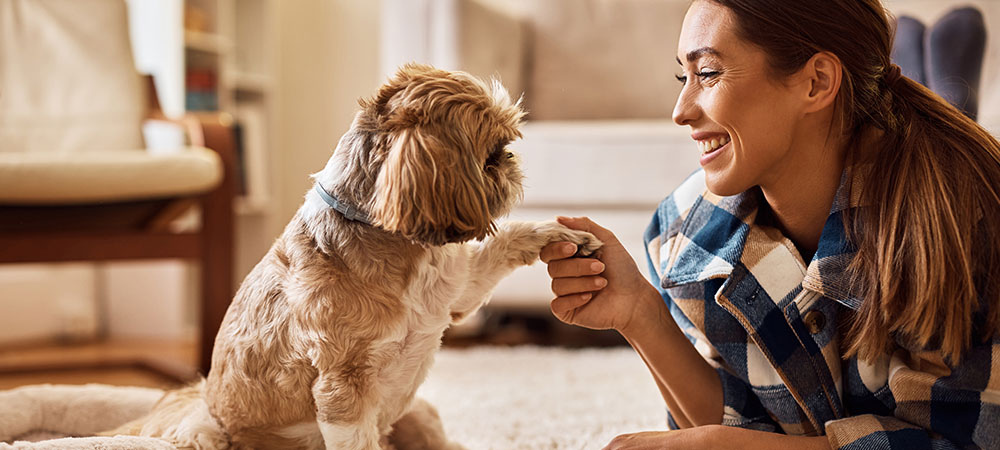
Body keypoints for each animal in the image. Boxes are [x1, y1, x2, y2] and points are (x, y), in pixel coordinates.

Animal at [106, 64, 600, 450]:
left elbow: (505, 243)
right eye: (490, 154)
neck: (396, 243)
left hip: (418, 413)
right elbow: (356, 436)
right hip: (204, 428)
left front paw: (562, 236)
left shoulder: (457, 295)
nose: (511, 160)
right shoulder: (343, 388)